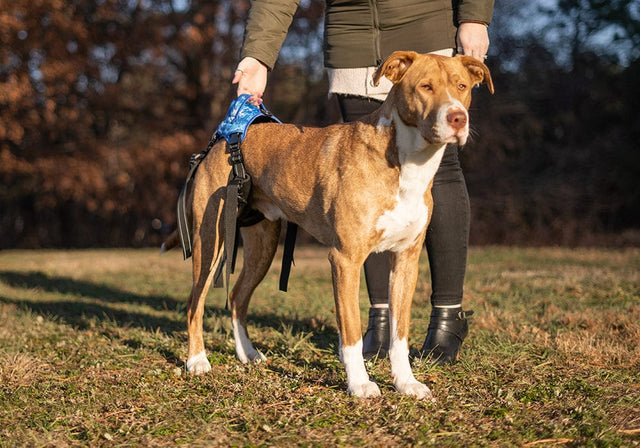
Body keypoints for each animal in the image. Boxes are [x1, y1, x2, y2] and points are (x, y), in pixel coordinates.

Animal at [172, 52, 492, 400]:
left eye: (462, 87)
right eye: (426, 87)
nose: (458, 118)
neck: (406, 163)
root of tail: (225, 139)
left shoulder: (406, 261)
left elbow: (400, 335)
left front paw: (405, 381)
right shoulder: (345, 259)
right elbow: (351, 333)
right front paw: (360, 383)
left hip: (262, 247)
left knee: (236, 298)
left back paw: (247, 354)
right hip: (211, 241)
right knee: (194, 303)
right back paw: (197, 361)